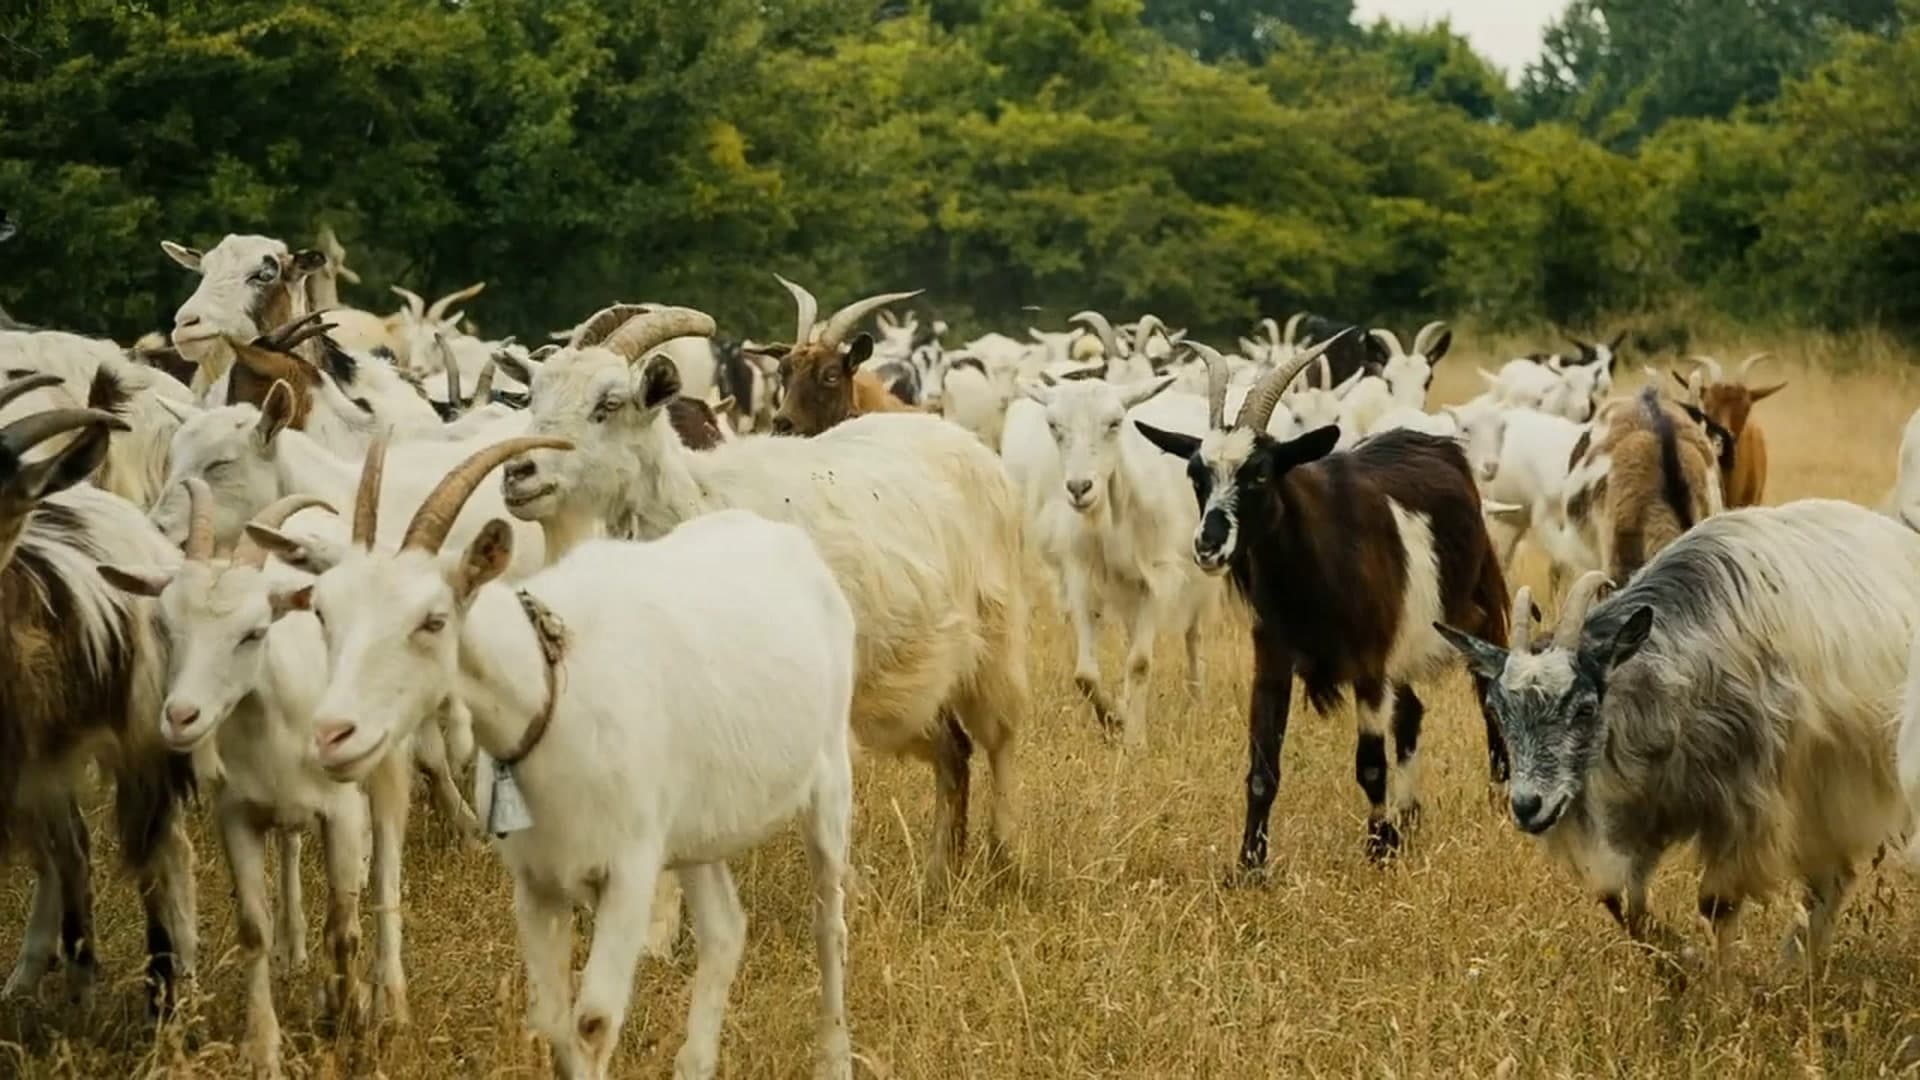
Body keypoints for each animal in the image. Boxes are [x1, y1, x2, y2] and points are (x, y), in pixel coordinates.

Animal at [0, 378, 199, 1013]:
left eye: (6, 503)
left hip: (139, 732)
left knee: (160, 848)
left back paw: (170, 982)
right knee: (67, 850)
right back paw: (52, 974)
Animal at [277, 440, 857, 1080]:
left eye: (433, 620)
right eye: (322, 613)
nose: (332, 734)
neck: (551, 685)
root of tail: (787, 542)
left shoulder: (629, 872)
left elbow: (592, 1022)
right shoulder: (537, 884)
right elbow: (553, 1024)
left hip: (830, 781)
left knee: (829, 924)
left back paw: (834, 1057)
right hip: (697, 830)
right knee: (726, 930)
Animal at [501, 305, 1028, 890]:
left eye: (608, 405)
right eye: (533, 397)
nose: (517, 473)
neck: (697, 504)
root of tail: (963, 439)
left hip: (994, 637)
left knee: (1000, 737)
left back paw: (1006, 859)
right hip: (915, 673)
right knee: (953, 750)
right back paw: (938, 877)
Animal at [1134, 345, 1512, 869]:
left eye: (1260, 473)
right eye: (1196, 475)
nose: (1208, 546)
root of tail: (1439, 445)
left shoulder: (1369, 662)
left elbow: (1370, 765)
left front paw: (1380, 849)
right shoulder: (1272, 659)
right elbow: (1262, 769)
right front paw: (1249, 865)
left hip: (1483, 612)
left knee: (1489, 700)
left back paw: (1499, 800)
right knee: (1411, 713)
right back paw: (1410, 814)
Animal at [1440, 502, 1920, 973]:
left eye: (1585, 708)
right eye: (1498, 710)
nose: (1527, 806)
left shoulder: (1745, 806)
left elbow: (1717, 904)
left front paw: (1723, 986)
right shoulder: (1640, 809)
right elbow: (1618, 899)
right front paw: (1680, 965)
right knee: (1831, 878)